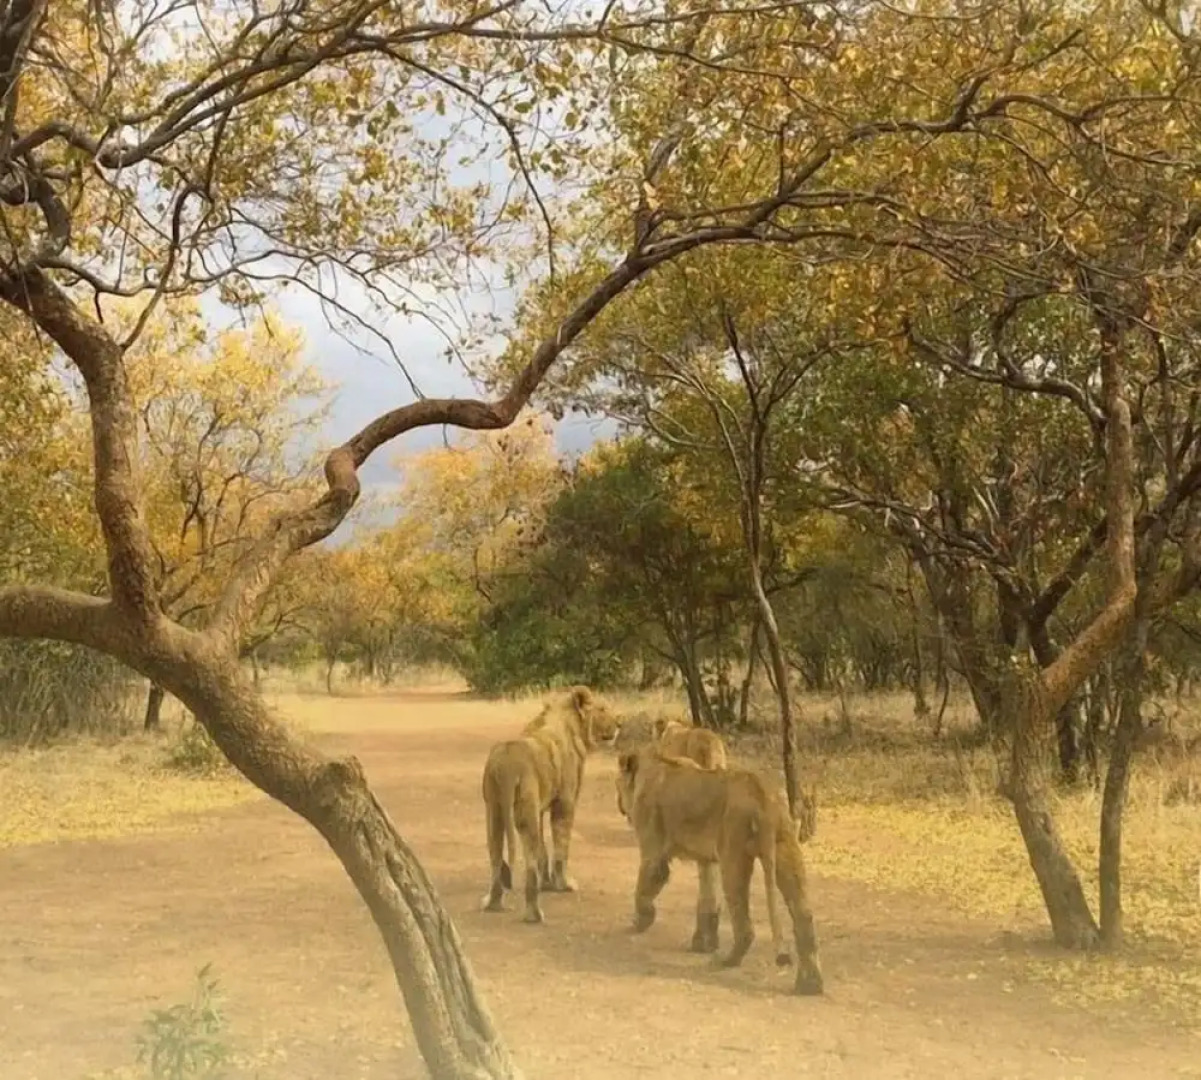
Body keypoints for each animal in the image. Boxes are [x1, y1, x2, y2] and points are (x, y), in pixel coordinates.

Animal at [480, 685, 619, 924]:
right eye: (602, 709)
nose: (620, 724)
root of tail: (504, 765)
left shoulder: (539, 809)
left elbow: (543, 850)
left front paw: (546, 883)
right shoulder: (565, 803)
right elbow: (562, 847)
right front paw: (564, 884)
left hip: (495, 812)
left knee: (496, 858)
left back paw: (494, 903)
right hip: (523, 813)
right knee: (529, 866)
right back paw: (534, 914)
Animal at [615, 743, 823, 995]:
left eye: (616, 784)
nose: (618, 804)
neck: (652, 763)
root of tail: (761, 793)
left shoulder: (653, 851)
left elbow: (644, 887)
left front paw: (641, 921)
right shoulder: (707, 858)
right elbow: (707, 899)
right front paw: (703, 943)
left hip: (734, 853)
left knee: (745, 925)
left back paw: (727, 960)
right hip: (785, 849)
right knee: (804, 915)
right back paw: (810, 984)